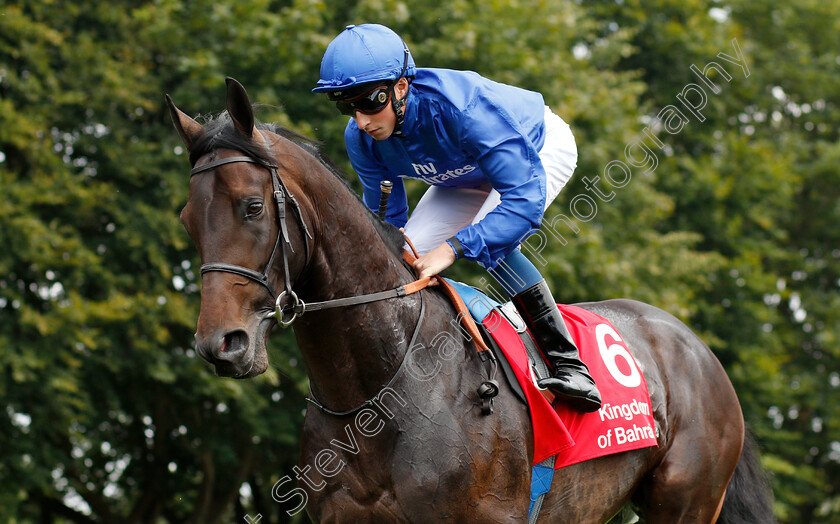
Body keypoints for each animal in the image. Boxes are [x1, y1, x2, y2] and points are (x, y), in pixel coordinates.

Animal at [166, 79, 776, 524]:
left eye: (251, 207)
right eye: (187, 220)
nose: (221, 344)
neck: (383, 386)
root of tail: (697, 347)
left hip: (687, 500)